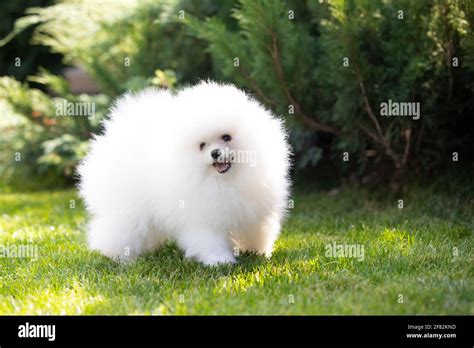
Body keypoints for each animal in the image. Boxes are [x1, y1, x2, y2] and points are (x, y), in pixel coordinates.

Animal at [78, 81, 288, 266]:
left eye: (226, 137)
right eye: (202, 146)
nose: (215, 153)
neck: (226, 181)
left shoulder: (254, 210)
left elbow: (258, 232)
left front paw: (259, 252)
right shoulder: (203, 218)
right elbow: (211, 240)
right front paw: (220, 261)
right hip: (127, 209)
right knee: (118, 230)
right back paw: (118, 257)